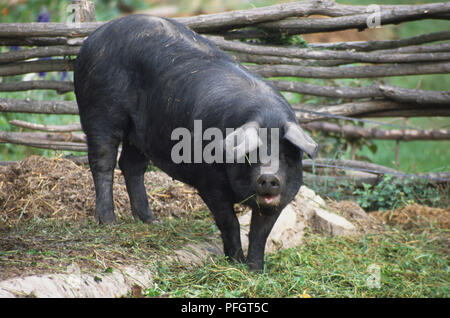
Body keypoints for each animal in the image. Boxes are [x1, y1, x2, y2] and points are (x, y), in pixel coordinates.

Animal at [74, 13, 318, 270]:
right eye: (251, 155)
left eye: (285, 155)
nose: (269, 177)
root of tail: (93, 38)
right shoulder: (209, 183)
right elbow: (230, 223)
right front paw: (235, 263)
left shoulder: (281, 198)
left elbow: (260, 234)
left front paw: (255, 270)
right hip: (100, 109)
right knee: (103, 160)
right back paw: (109, 222)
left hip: (142, 132)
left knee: (131, 165)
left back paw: (152, 221)